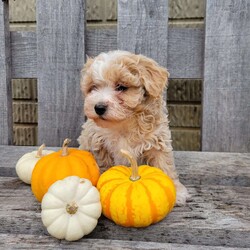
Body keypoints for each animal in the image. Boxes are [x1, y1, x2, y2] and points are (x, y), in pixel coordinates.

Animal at [78, 50, 189, 205]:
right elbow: (104, 166)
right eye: (93, 87)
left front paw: (176, 191)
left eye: (121, 87)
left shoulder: (157, 141)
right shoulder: (98, 143)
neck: (123, 123)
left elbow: (165, 165)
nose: (98, 107)